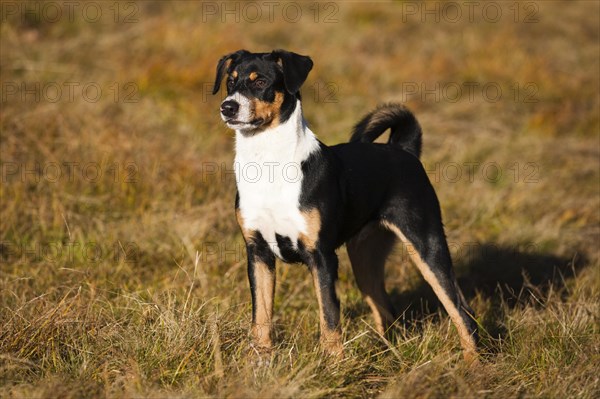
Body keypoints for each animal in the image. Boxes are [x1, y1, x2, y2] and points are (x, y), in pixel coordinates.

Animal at [211, 49, 478, 362]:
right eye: (230, 81)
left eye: (261, 81)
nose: (228, 107)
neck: (268, 165)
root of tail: (403, 149)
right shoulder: (258, 253)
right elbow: (261, 316)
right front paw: (260, 360)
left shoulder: (322, 256)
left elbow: (329, 317)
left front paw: (332, 364)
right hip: (365, 256)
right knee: (387, 311)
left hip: (427, 245)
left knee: (461, 311)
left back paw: (472, 364)